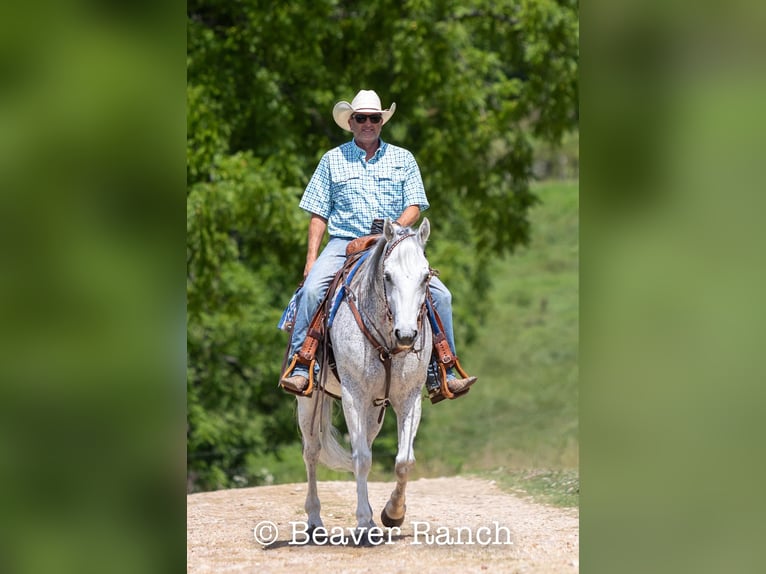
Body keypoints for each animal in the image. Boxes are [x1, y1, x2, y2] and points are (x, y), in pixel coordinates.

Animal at [296, 217, 433, 546]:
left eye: (425, 277)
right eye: (388, 276)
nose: (407, 335)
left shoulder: (409, 397)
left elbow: (404, 461)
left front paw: (392, 514)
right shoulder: (353, 395)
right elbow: (361, 459)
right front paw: (363, 524)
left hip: (374, 409)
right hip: (308, 401)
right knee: (312, 453)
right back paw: (314, 521)